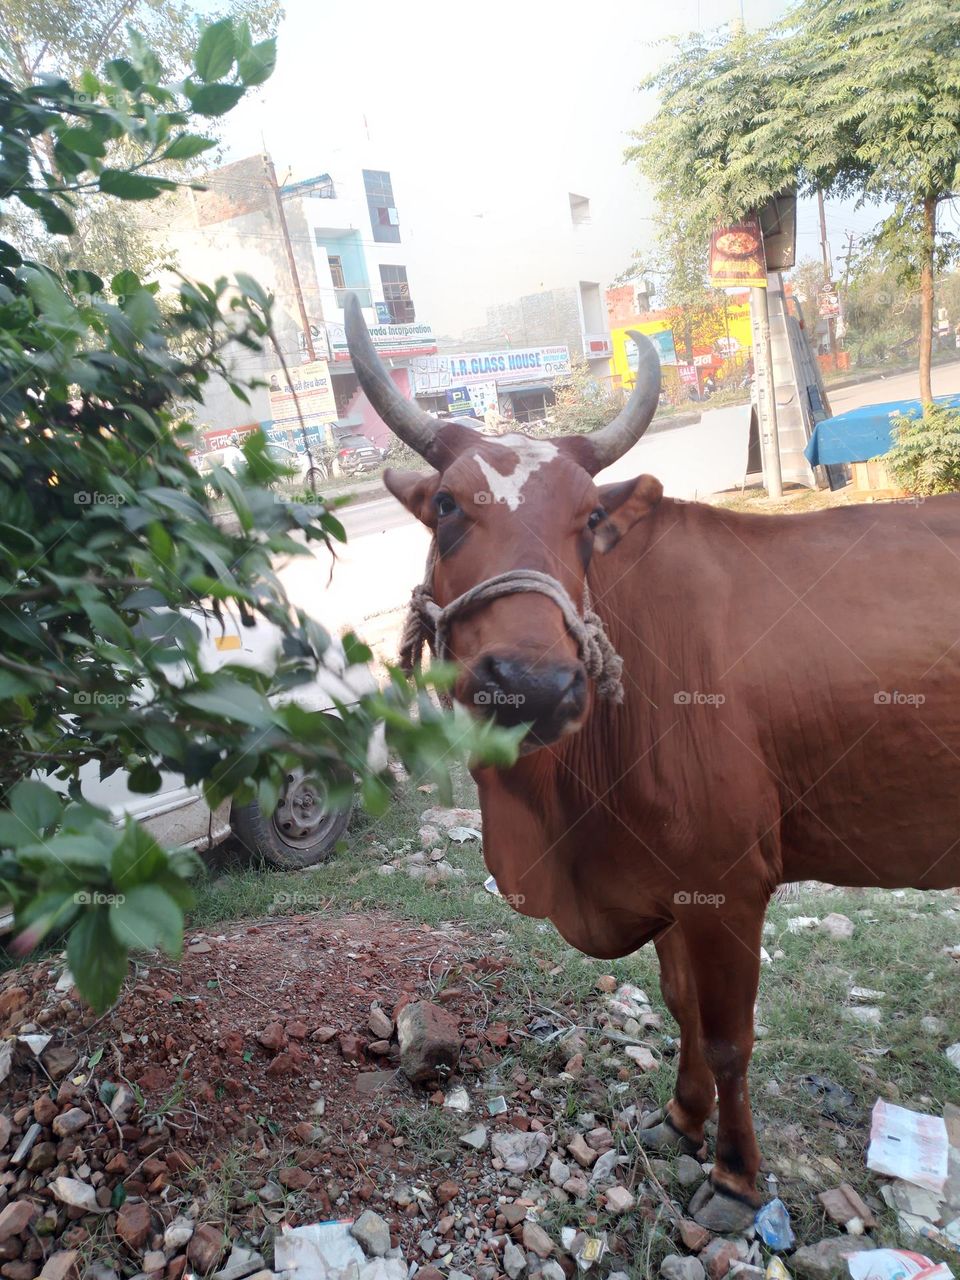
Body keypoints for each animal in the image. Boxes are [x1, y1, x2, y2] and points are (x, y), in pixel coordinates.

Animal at [345, 293, 960, 1232]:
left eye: (588, 523)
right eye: (447, 505)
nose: (532, 683)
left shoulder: (731, 887)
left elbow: (729, 1036)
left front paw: (736, 1174)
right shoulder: (666, 885)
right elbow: (679, 1006)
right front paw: (680, 1117)